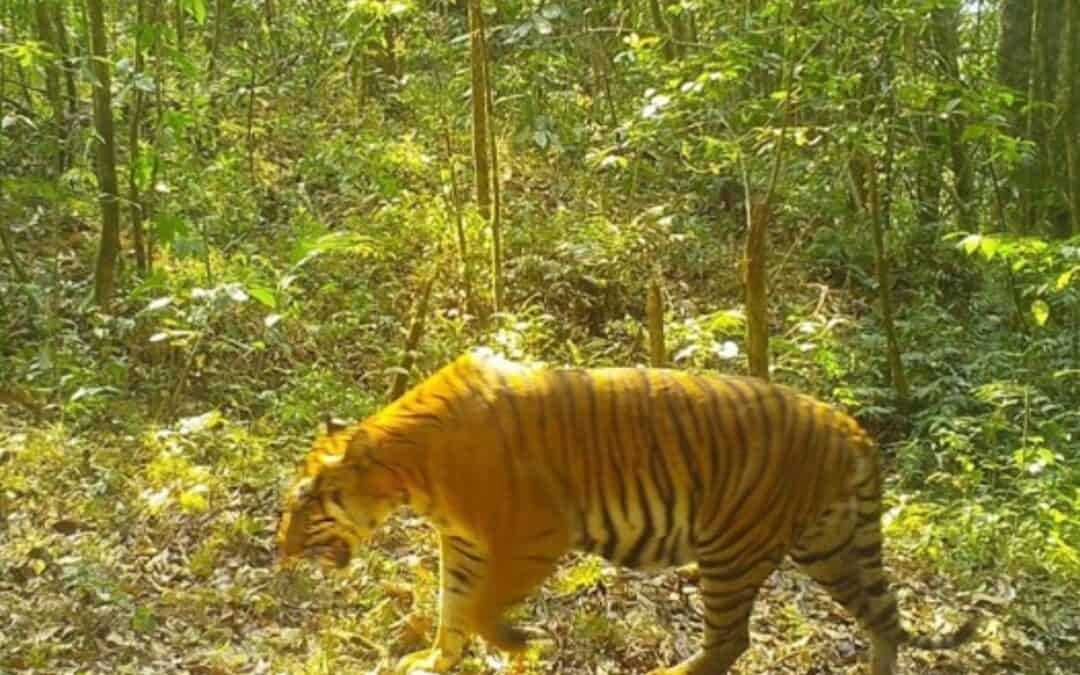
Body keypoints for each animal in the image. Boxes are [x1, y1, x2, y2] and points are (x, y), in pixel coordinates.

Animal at [277, 349, 976, 675]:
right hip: (829, 545)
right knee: (883, 617)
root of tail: (852, 428)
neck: (408, 473)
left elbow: (475, 610)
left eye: (304, 502)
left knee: (731, 640)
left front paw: (519, 644)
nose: (279, 552)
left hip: (734, 549)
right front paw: (433, 663)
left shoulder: (535, 535)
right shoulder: (466, 543)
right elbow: (453, 610)